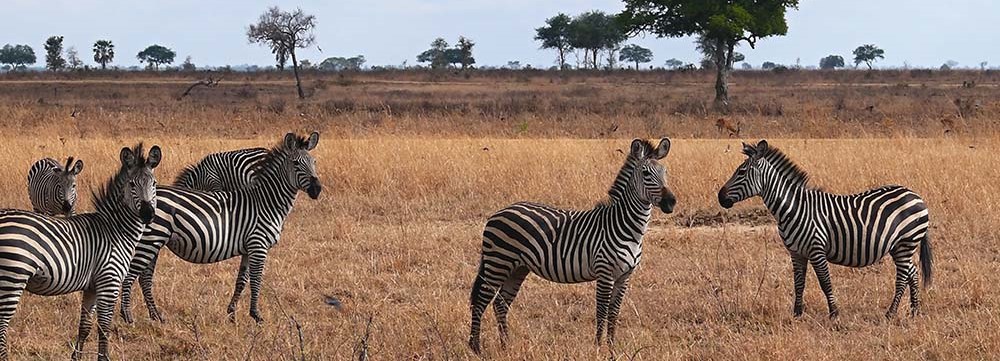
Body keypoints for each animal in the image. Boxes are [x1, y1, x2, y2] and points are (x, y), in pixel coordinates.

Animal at [0, 143, 160, 360]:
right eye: (132, 184)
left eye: (154, 184)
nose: (148, 215)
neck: (116, 229)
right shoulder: (109, 282)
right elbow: (104, 327)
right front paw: (104, 358)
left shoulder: (92, 286)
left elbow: (85, 326)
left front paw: (76, 357)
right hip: (12, 279)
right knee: (2, 325)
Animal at [118, 132, 320, 324]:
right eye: (295, 163)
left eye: (314, 162)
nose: (317, 189)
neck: (267, 202)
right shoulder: (258, 245)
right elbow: (256, 281)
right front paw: (256, 316)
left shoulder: (248, 249)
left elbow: (241, 281)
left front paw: (231, 314)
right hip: (150, 241)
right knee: (131, 276)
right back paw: (127, 316)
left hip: (153, 242)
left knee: (144, 278)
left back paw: (156, 316)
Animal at [466, 139, 672, 354]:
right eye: (645, 173)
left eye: (665, 172)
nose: (671, 202)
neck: (626, 227)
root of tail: (498, 213)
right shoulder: (605, 273)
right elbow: (601, 311)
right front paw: (598, 349)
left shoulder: (624, 277)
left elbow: (614, 313)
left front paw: (612, 349)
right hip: (498, 263)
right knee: (480, 301)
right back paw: (476, 347)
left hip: (517, 268)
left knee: (500, 303)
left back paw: (506, 345)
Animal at [720, 140, 928, 318]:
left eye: (741, 172)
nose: (720, 197)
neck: (794, 208)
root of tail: (914, 194)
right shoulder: (796, 253)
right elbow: (799, 283)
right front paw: (797, 314)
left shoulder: (816, 249)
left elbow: (825, 282)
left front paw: (834, 313)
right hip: (898, 246)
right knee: (913, 271)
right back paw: (915, 311)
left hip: (906, 242)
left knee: (903, 276)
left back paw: (891, 313)